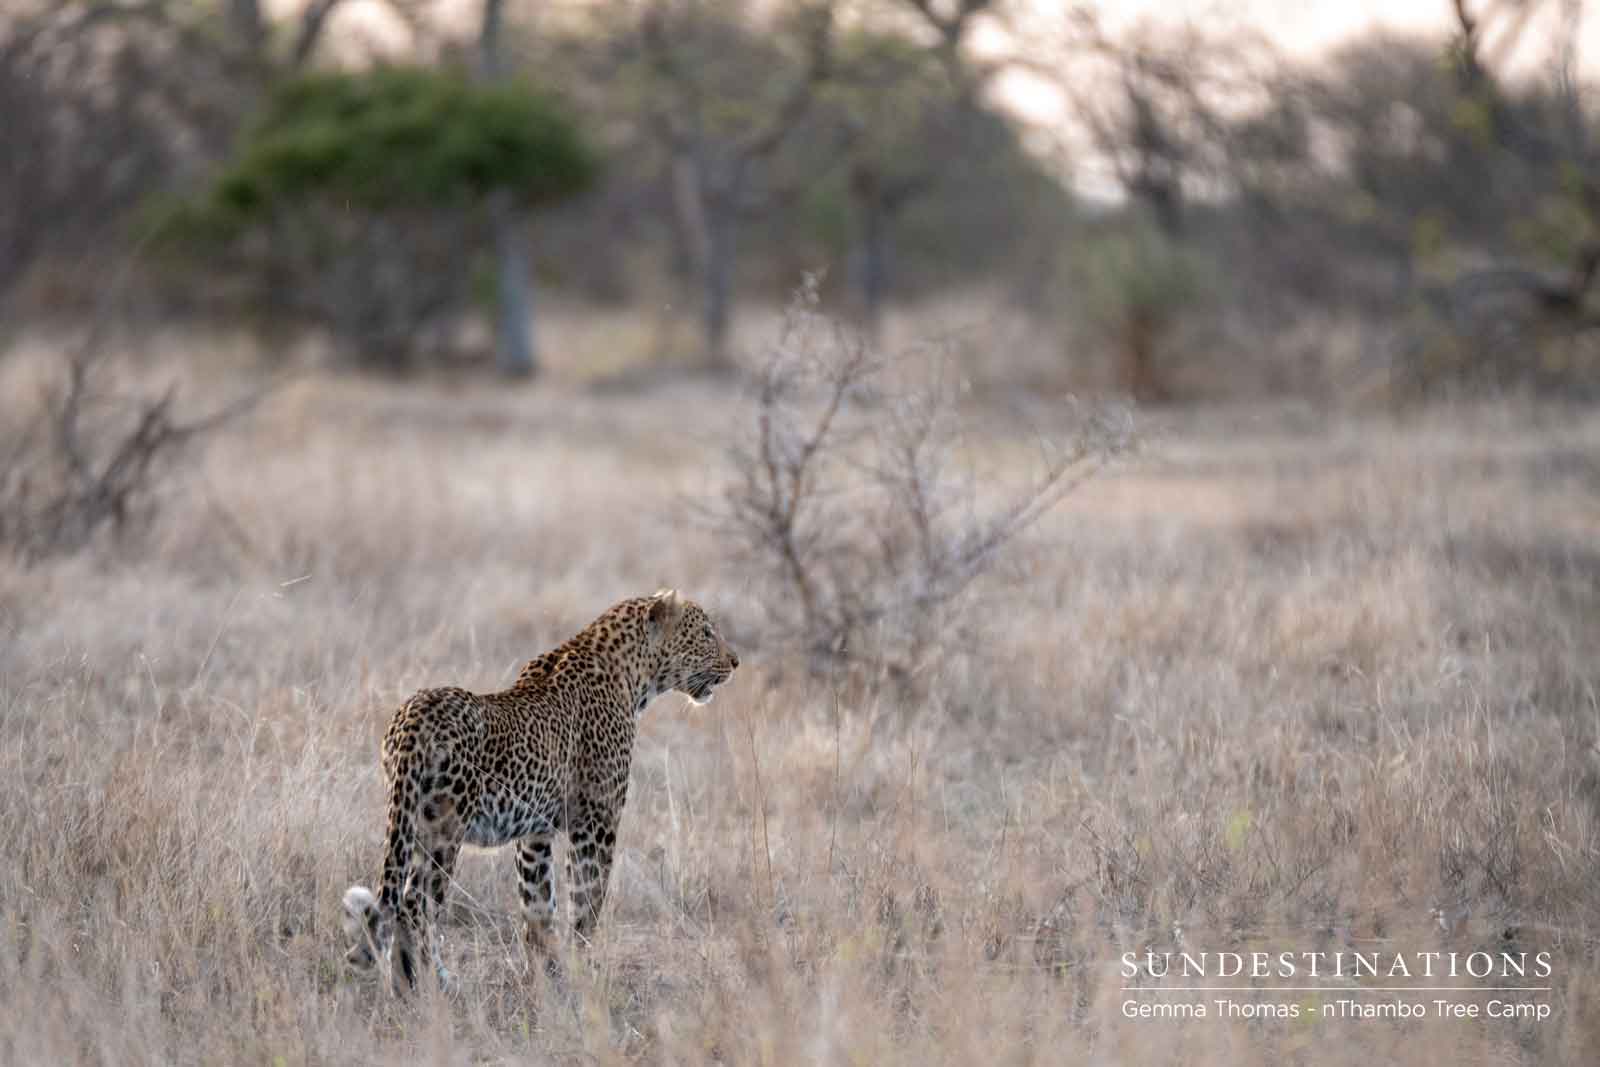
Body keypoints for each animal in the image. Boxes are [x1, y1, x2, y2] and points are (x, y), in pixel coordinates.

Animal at [341, 589, 739, 992]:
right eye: (706, 633)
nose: (735, 662)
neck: (634, 676)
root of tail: (412, 716)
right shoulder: (595, 822)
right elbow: (586, 901)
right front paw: (583, 970)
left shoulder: (535, 834)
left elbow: (538, 909)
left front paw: (545, 976)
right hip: (442, 831)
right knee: (414, 906)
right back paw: (426, 985)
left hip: (408, 823)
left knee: (404, 906)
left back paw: (415, 982)